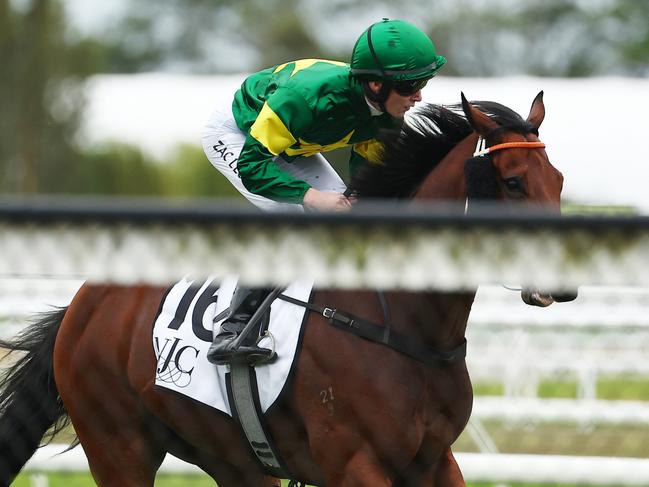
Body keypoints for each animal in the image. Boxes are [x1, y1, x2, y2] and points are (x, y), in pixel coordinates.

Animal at [0, 92, 568, 487]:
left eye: (558, 180)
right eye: (513, 183)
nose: (561, 288)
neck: (404, 325)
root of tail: (80, 305)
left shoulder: (434, 459)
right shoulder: (355, 462)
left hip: (231, 455)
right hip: (118, 446)